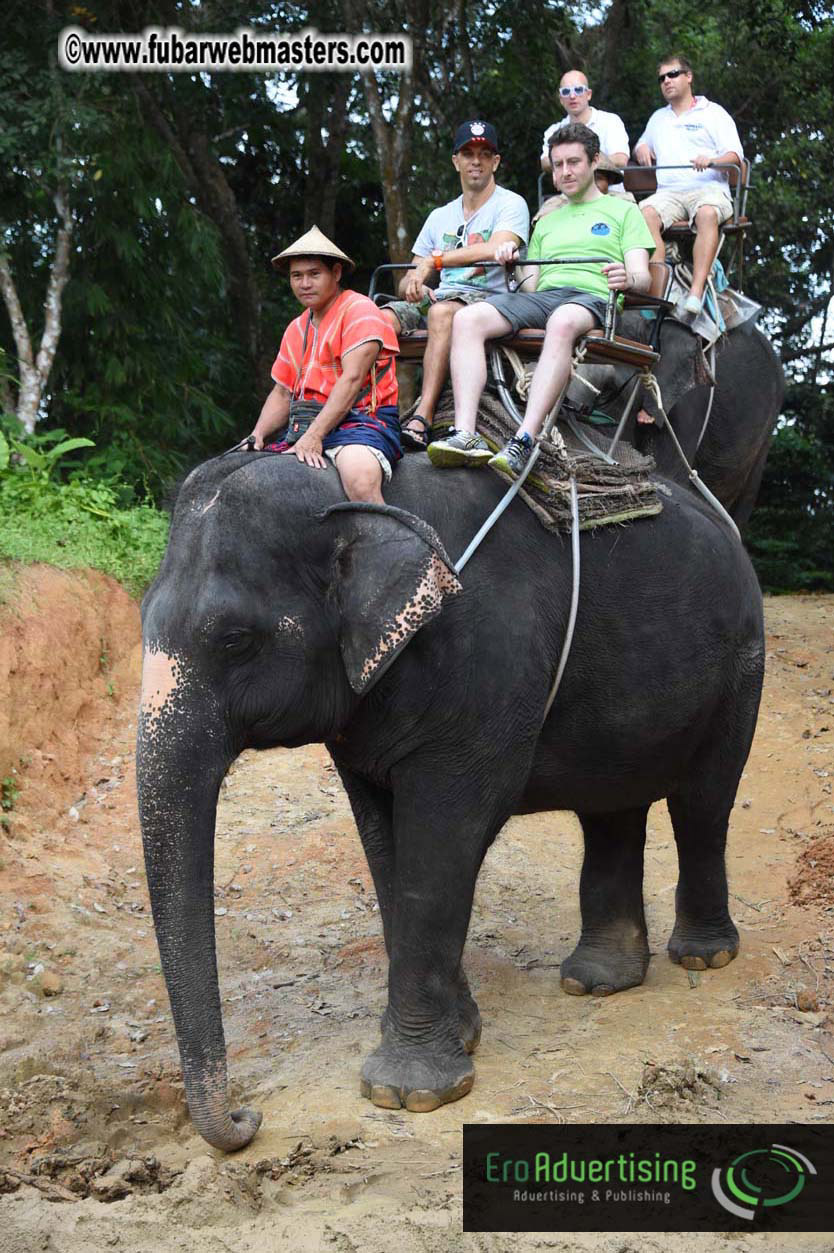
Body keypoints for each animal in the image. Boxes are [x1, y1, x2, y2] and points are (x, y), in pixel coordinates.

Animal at [137, 450, 764, 1151]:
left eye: (235, 640)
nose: (249, 1119)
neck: (352, 500)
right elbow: (384, 845)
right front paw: (463, 1033)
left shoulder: (486, 673)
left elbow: (440, 843)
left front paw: (407, 1093)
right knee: (612, 810)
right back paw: (596, 980)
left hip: (742, 665)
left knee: (703, 804)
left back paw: (704, 956)